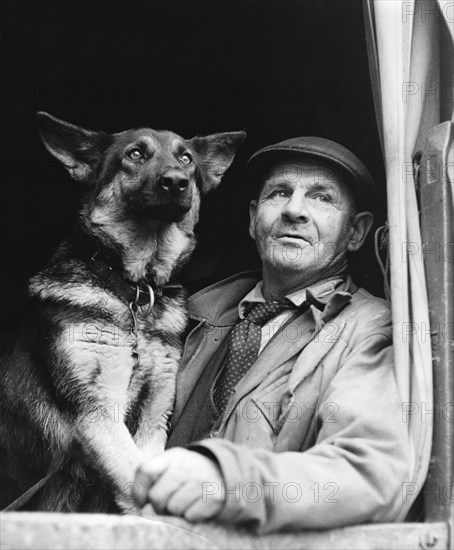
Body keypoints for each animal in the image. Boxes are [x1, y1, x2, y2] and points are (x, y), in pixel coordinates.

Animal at [0, 114, 247, 516]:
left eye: (186, 159)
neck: (134, 293)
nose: (176, 182)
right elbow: (136, 479)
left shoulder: (154, 411)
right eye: (135, 154)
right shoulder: (97, 411)